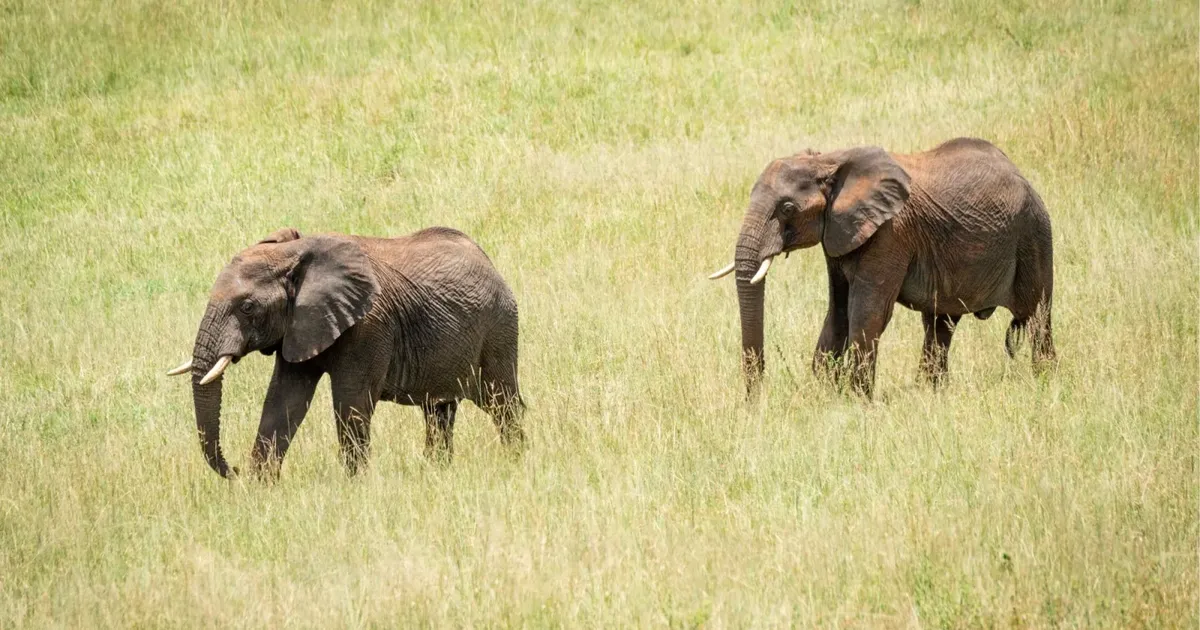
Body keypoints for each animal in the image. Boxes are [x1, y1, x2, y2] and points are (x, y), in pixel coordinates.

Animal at [167, 226, 524, 479]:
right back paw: (437, 472)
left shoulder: (369, 325)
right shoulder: (299, 325)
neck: (294, 252)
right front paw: (260, 488)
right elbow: (283, 401)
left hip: (499, 329)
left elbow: (351, 403)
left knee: (502, 402)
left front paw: (356, 487)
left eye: (247, 307)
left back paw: (516, 463)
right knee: (439, 411)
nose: (235, 471)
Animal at [709, 137, 1055, 398]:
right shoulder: (838, 233)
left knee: (1038, 316)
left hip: (1034, 234)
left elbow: (867, 312)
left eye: (787, 209)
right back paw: (930, 393)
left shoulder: (891, 233)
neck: (830, 160)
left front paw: (855, 401)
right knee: (940, 324)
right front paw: (822, 396)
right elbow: (838, 312)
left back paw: (1045, 382)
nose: (755, 402)